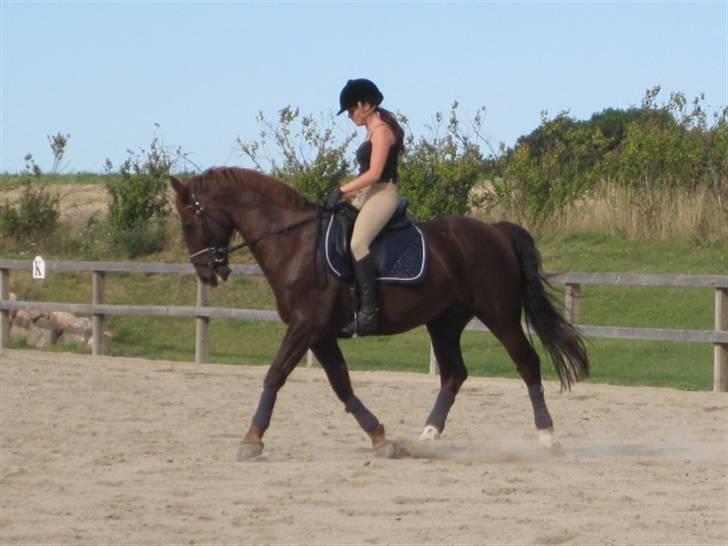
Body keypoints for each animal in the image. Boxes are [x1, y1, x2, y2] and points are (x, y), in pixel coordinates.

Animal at [168, 168, 588, 456]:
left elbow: (275, 374)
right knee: (454, 374)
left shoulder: (306, 327)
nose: (207, 273)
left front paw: (252, 439)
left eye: (189, 222)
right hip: (444, 321)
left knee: (527, 362)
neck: (294, 244)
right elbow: (342, 385)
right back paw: (428, 436)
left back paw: (547, 437)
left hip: (498, 315)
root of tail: (497, 231)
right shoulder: (319, 333)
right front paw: (380, 437)